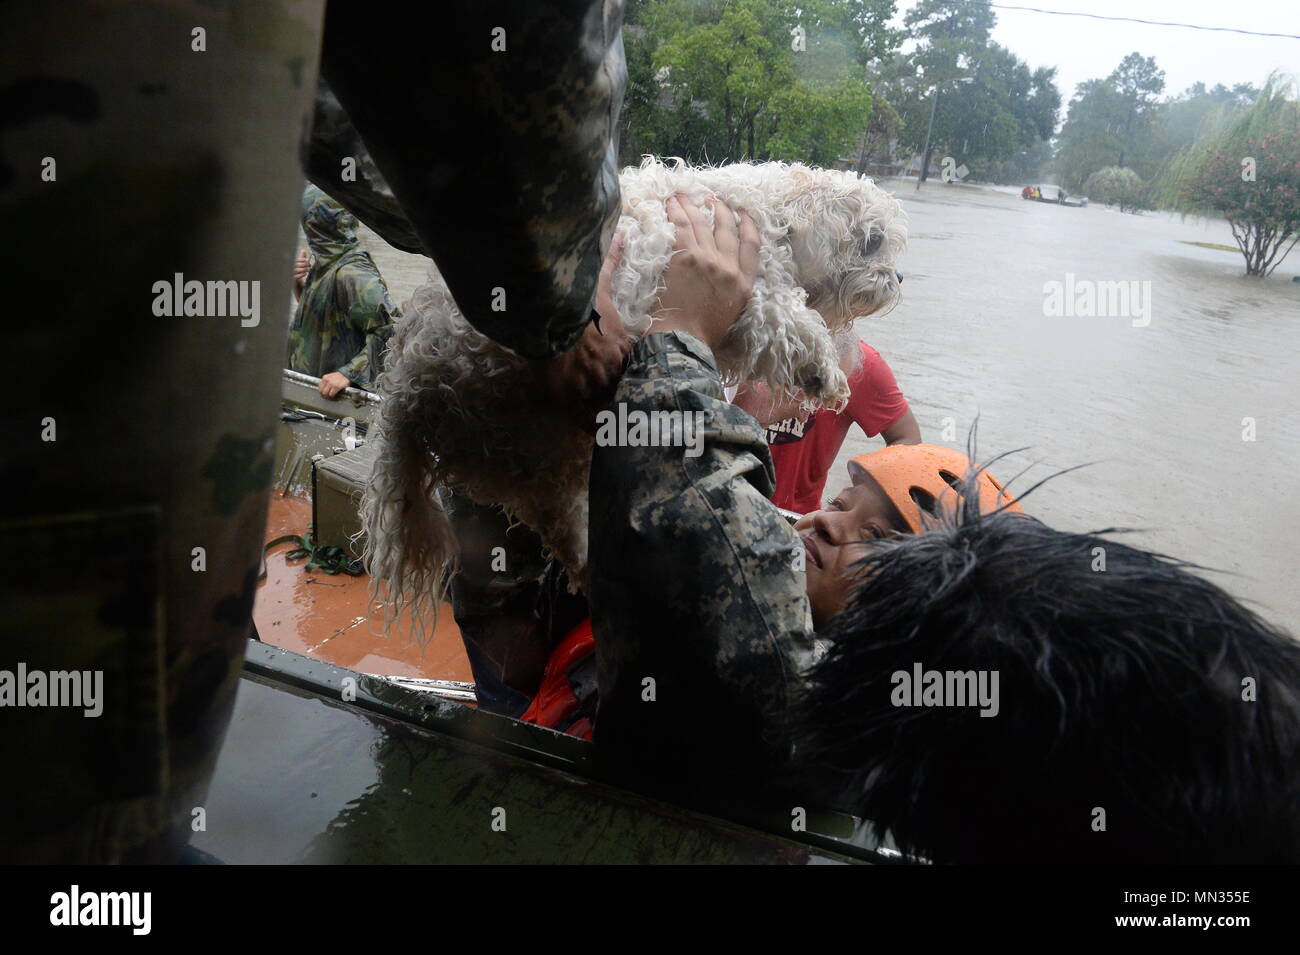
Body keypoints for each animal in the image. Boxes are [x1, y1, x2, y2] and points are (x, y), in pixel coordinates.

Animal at [361, 159, 909, 631]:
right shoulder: (756, 289)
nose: (898, 277)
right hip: (527, 444)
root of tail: (408, 382)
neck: (773, 215)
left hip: (531, 462)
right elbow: (789, 321)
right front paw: (824, 373)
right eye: (872, 240)